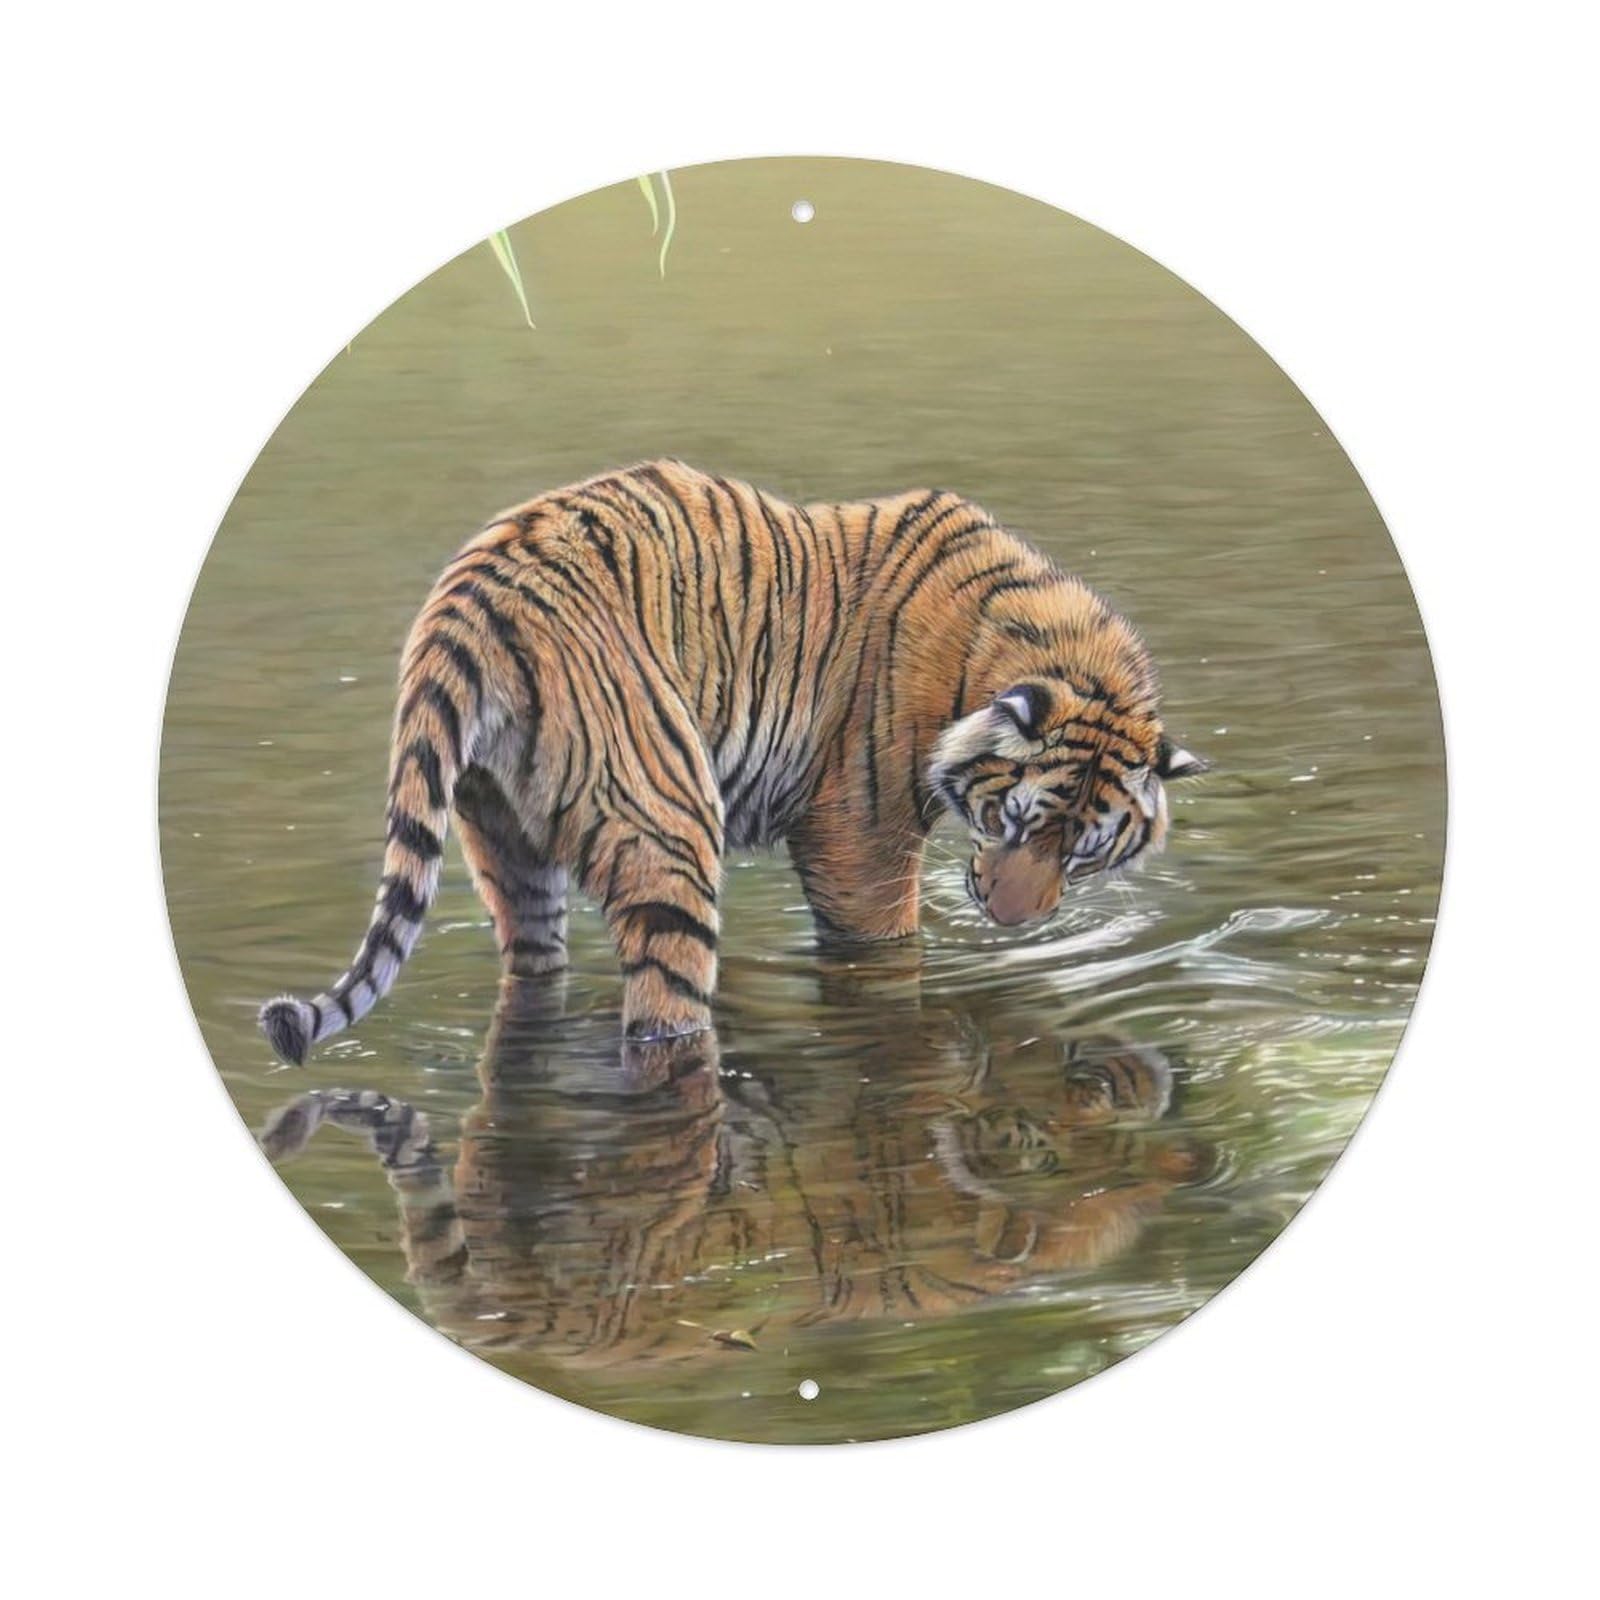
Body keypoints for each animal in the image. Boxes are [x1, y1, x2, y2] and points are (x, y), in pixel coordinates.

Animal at [259, 459, 1204, 1063]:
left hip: (506, 840)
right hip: (667, 823)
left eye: (1081, 852)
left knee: (530, 963)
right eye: (1011, 819)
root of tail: (472, 595)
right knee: (662, 1002)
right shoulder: (859, 838)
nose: (1011, 924)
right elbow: (885, 946)